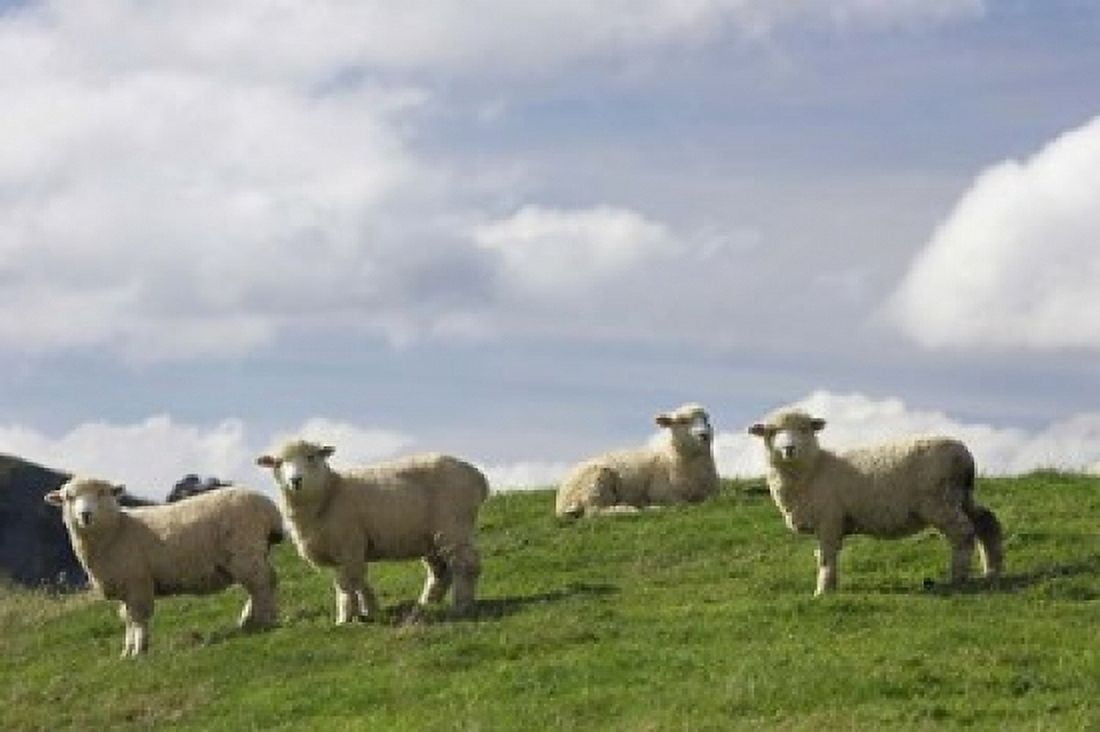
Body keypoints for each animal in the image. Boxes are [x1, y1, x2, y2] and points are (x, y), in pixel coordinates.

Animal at [44, 477, 284, 657]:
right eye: (69, 497)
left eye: (102, 493)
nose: (86, 514)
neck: (117, 530)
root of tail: (268, 507)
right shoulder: (125, 587)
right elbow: (127, 618)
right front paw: (127, 651)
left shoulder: (138, 581)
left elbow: (139, 617)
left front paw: (139, 650)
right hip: (249, 553)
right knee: (261, 583)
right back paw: (249, 620)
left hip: (245, 549)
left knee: (262, 583)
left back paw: (265, 620)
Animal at [256, 441, 489, 622]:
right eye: (278, 463)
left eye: (311, 457)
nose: (296, 480)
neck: (330, 492)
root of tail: (477, 475)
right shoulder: (347, 550)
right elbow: (359, 580)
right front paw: (369, 609)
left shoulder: (348, 543)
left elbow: (346, 585)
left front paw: (345, 618)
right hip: (432, 537)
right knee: (440, 571)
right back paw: (427, 603)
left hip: (453, 525)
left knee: (465, 564)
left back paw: (461, 605)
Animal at [555, 402, 719, 518]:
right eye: (683, 421)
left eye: (706, 419)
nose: (704, 435)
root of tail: (561, 503)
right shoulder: (662, 493)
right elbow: (681, 505)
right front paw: (654, 507)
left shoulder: (712, 493)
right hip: (595, 483)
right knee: (594, 511)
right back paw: (631, 509)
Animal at [748, 409, 1004, 595]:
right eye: (772, 432)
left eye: (804, 429)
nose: (789, 448)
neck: (814, 469)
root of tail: (965, 454)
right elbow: (824, 554)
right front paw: (830, 586)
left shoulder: (830, 518)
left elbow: (826, 556)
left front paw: (823, 591)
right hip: (961, 495)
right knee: (986, 521)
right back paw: (991, 570)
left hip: (940, 501)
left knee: (963, 532)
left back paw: (958, 577)